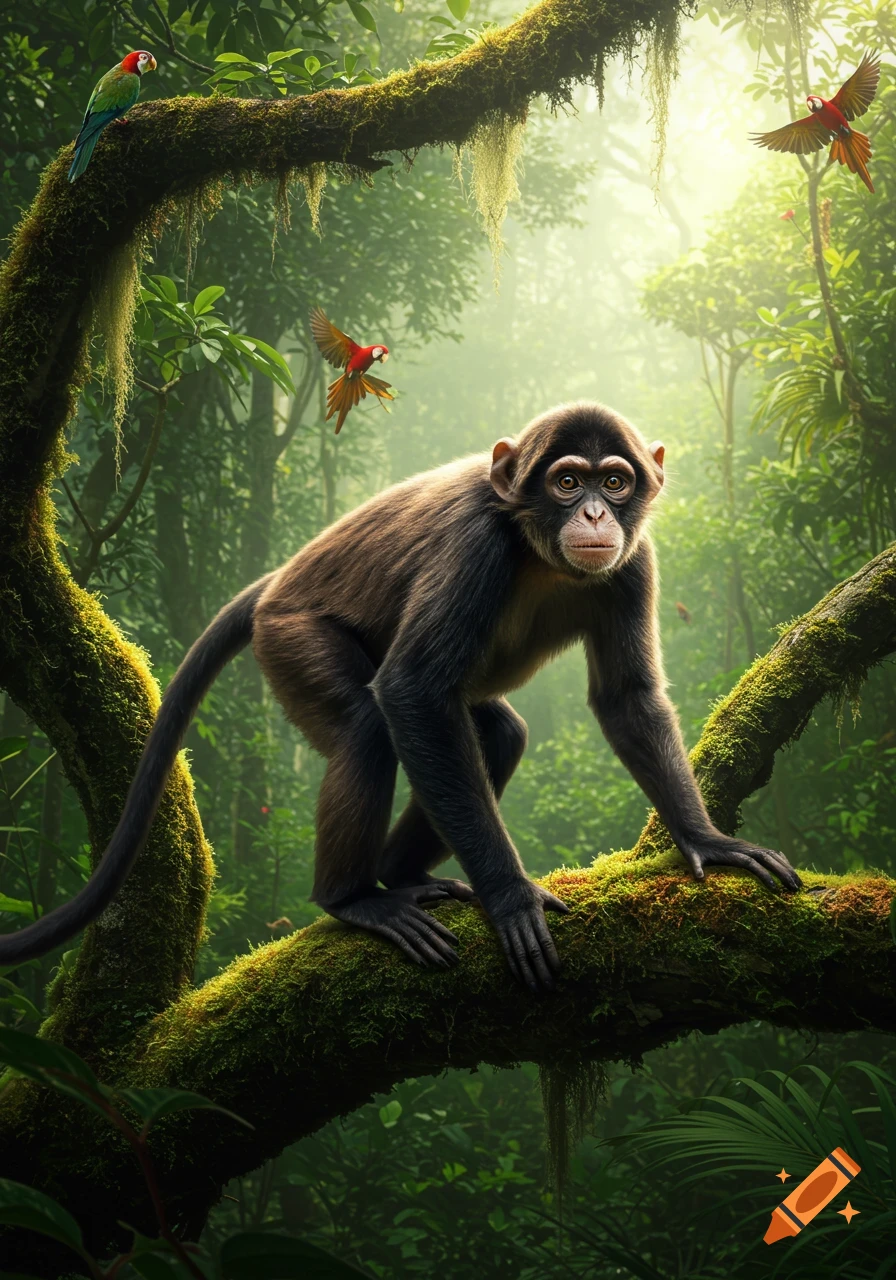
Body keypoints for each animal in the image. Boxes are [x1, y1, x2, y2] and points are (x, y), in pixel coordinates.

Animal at [0, 403, 801, 991]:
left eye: (617, 482)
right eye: (568, 483)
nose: (598, 515)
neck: (536, 551)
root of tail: (275, 583)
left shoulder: (635, 566)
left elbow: (628, 699)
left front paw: (707, 840)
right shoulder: (475, 546)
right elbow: (411, 692)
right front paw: (511, 897)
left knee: (491, 734)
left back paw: (403, 872)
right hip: (290, 639)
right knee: (368, 722)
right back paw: (356, 898)